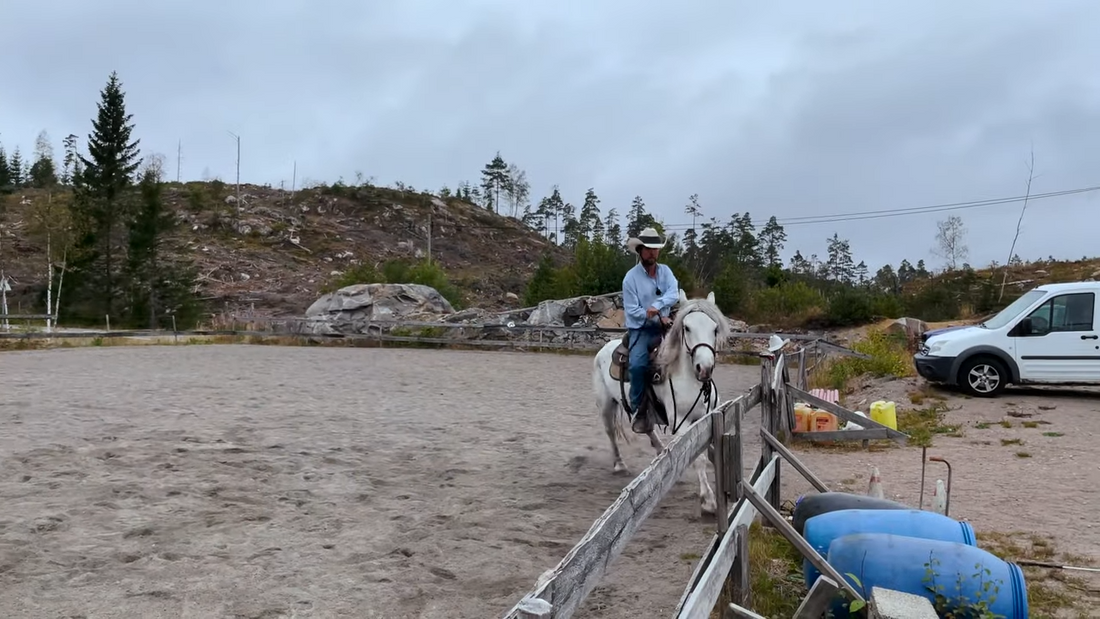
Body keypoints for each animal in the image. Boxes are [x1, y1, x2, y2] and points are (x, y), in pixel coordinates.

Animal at [594, 288, 730, 516]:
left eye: (714, 328)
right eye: (687, 327)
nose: (704, 368)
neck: (689, 378)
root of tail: (606, 347)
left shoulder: (708, 417)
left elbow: (711, 452)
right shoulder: (681, 422)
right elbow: (700, 458)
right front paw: (709, 501)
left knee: (647, 427)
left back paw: (660, 453)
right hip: (606, 405)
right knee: (610, 431)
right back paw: (620, 464)